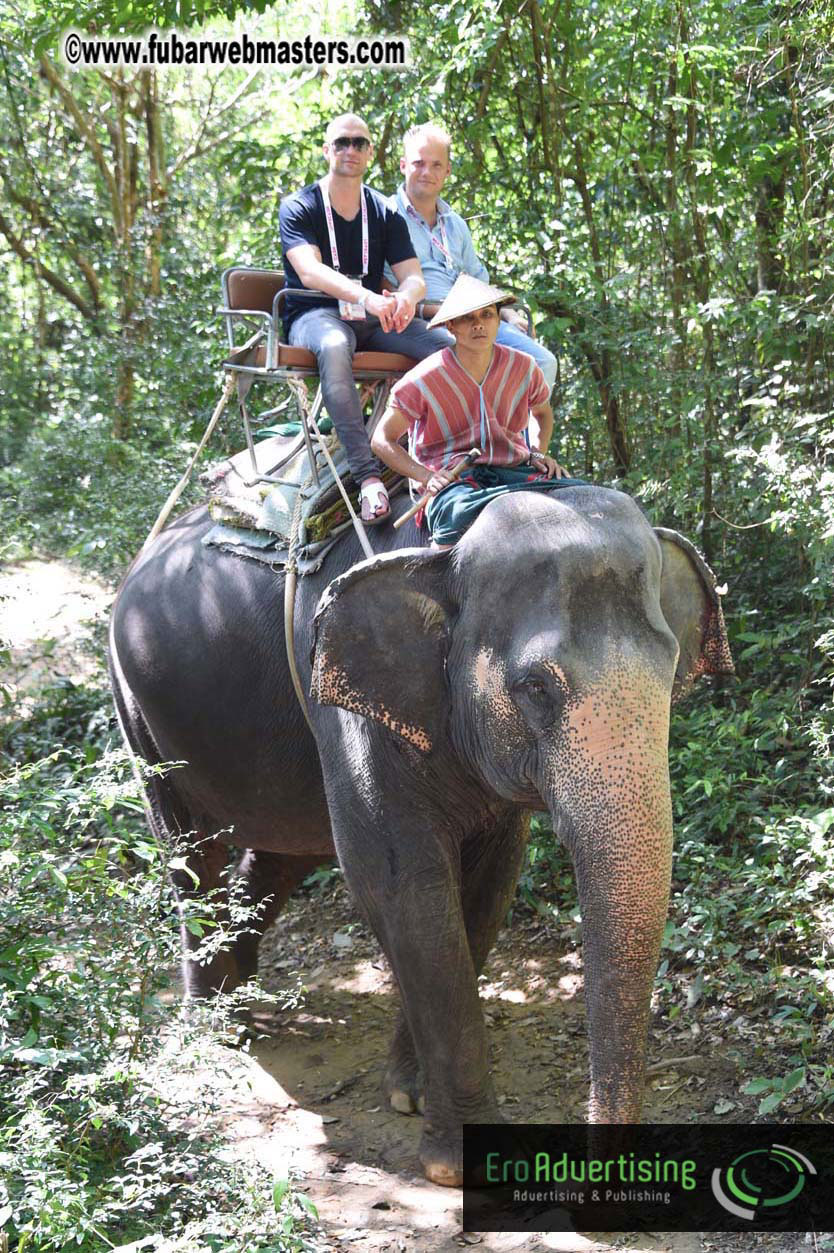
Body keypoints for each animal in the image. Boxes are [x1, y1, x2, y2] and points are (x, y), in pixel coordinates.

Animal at [108, 484, 733, 1186]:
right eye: (535, 687)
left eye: (672, 668)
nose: (596, 1178)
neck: (447, 547)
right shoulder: (353, 706)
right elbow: (401, 883)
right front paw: (457, 1163)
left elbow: (487, 887)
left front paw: (406, 1093)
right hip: (138, 709)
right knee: (194, 856)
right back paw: (217, 1029)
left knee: (280, 855)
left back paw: (239, 997)